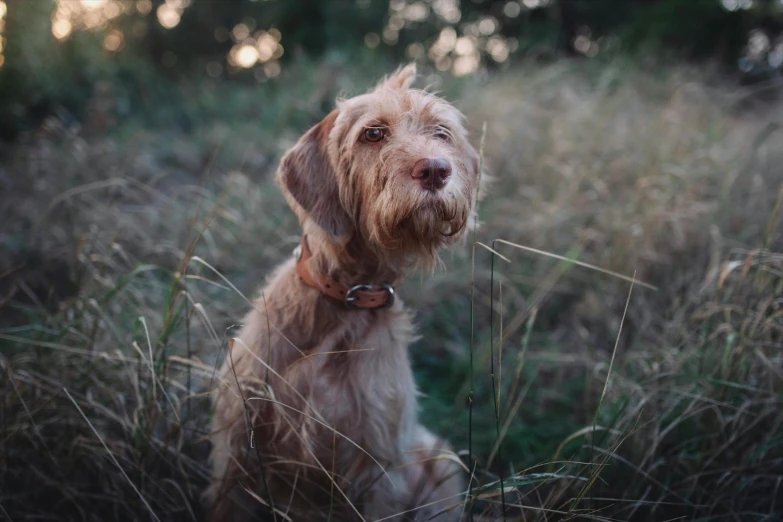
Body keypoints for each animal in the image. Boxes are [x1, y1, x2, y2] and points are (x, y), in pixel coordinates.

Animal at [205, 65, 480, 520]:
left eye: (441, 132)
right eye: (373, 133)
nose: (436, 170)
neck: (346, 298)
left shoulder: (376, 468)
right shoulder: (237, 452)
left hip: (439, 463)